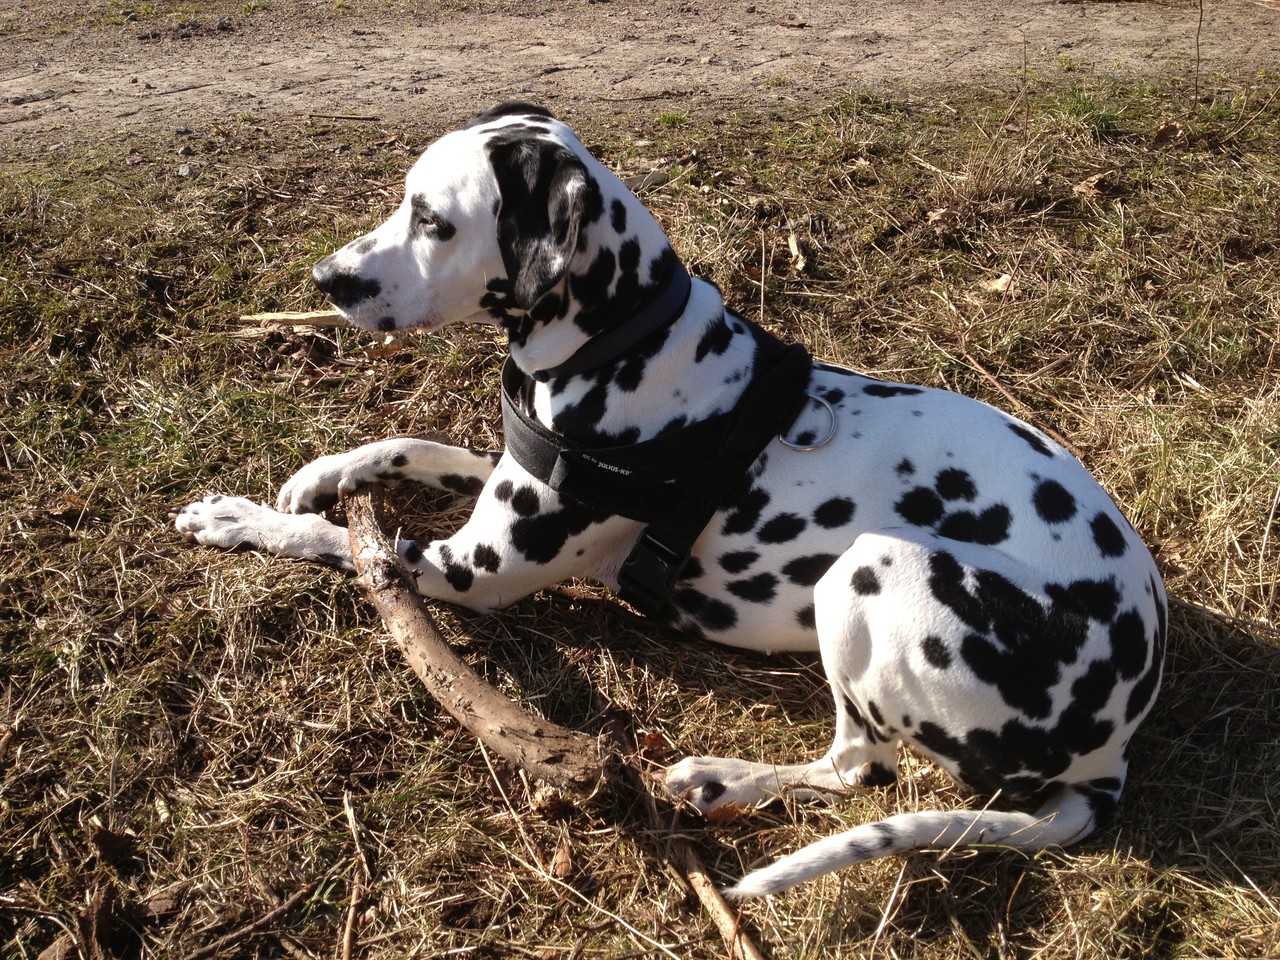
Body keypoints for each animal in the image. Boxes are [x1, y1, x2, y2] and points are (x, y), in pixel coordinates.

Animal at [172, 104, 1172, 901]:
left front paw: (242, 519)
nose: (325, 281)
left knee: (862, 770)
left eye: (432, 220)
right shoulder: (505, 468)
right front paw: (323, 471)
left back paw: (727, 780)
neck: (621, 342)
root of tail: (1117, 749)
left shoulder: (470, 571)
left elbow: (338, 544)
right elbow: (405, 446)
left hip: (872, 570)